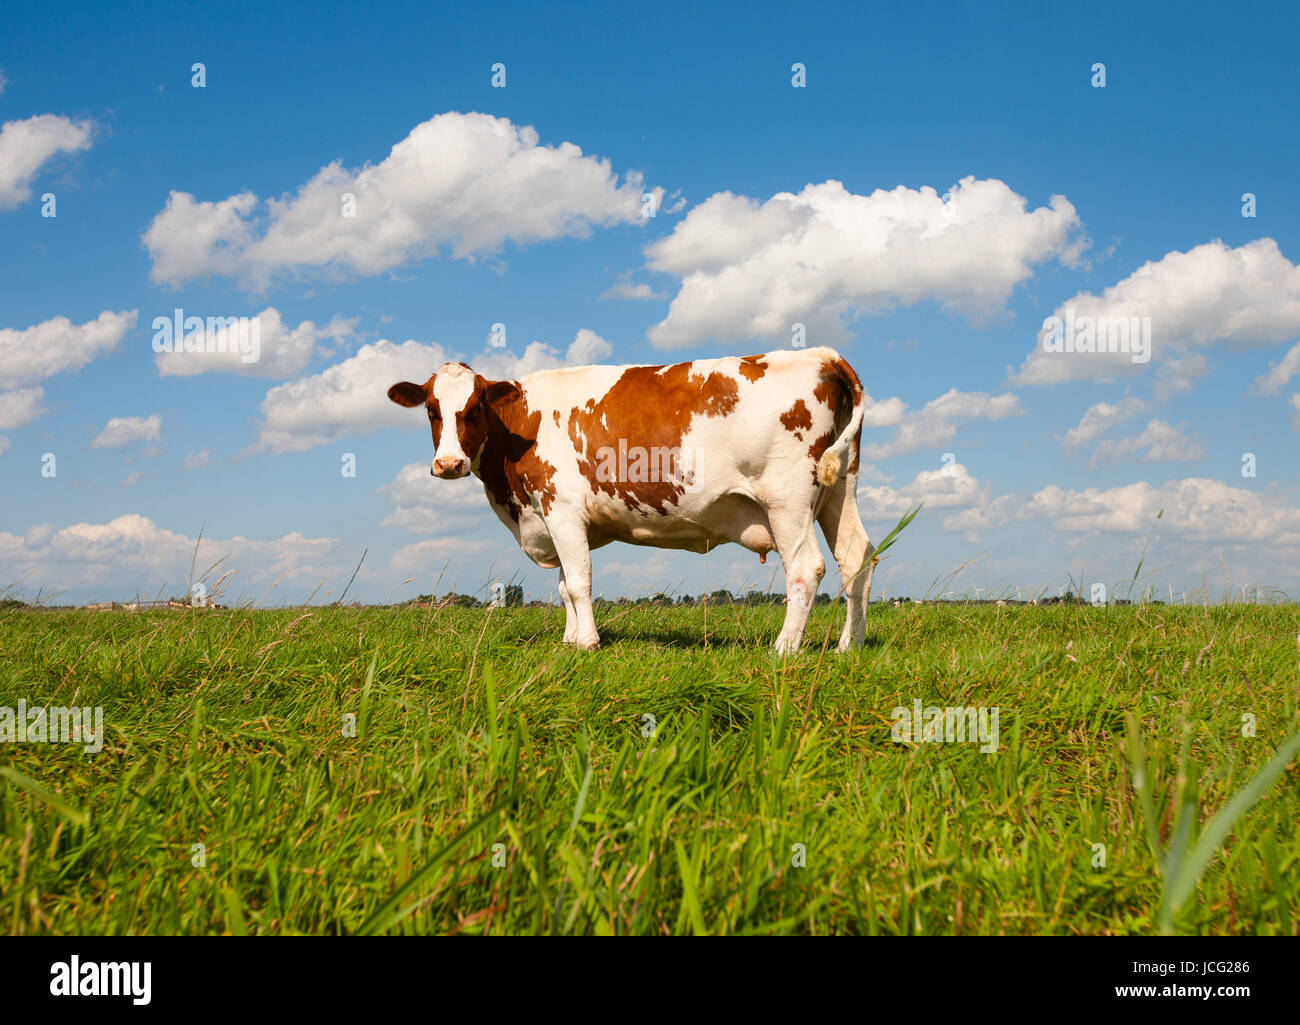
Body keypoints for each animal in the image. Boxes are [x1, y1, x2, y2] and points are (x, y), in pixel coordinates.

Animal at [384, 348, 873, 652]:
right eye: (431, 409)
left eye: (474, 408)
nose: (449, 464)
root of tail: (822, 355)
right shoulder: (553, 516)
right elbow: (563, 585)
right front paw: (569, 641)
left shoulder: (561, 508)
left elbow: (578, 582)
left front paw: (587, 643)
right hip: (839, 489)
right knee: (857, 558)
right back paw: (850, 645)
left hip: (788, 498)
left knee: (806, 567)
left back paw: (784, 648)